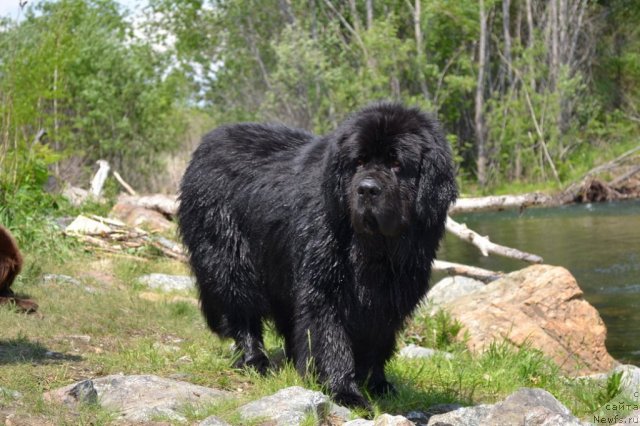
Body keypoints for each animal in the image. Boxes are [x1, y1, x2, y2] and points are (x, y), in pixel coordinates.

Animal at [178, 101, 458, 408]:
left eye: (397, 164)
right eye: (359, 162)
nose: (367, 189)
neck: (374, 249)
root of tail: (208, 143)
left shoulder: (391, 294)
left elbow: (377, 339)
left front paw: (377, 384)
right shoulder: (324, 284)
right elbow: (329, 337)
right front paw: (343, 390)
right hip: (227, 254)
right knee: (242, 309)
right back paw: (255, 360)